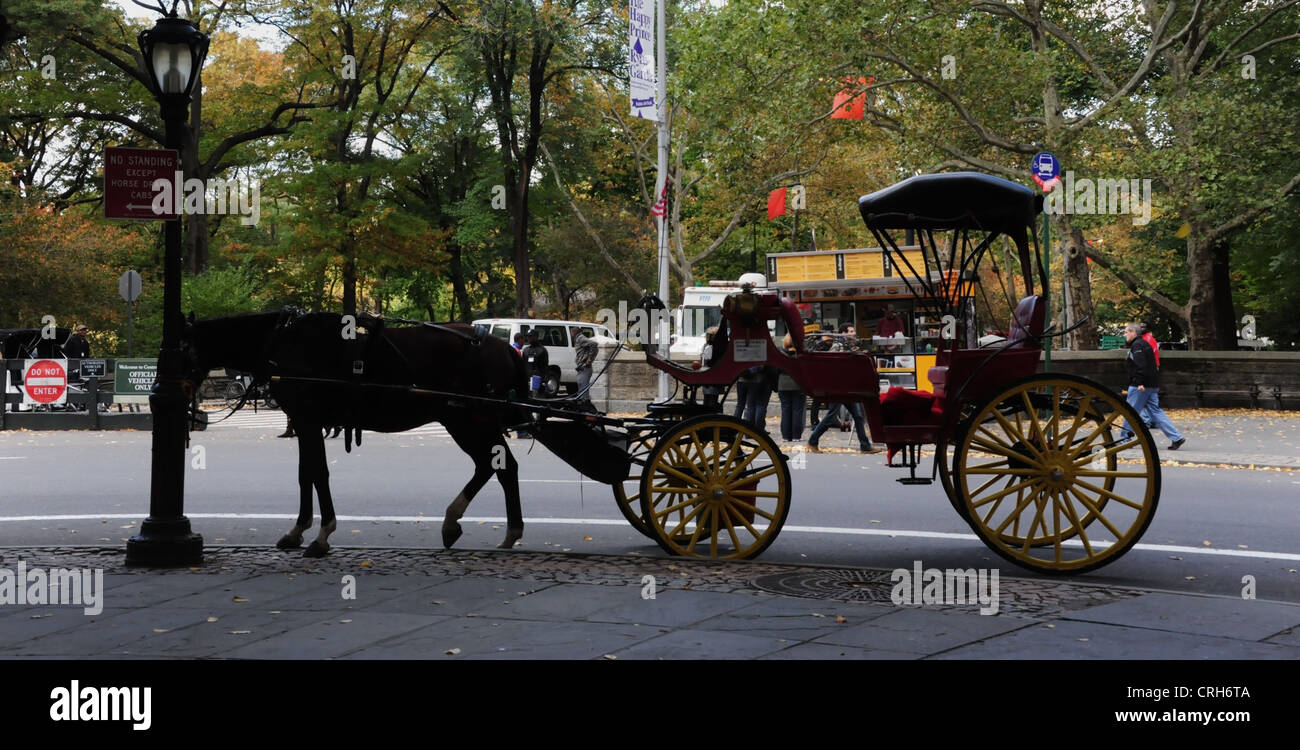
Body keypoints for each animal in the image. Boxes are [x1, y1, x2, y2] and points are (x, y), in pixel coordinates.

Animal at [182, 309, 527, 556]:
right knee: (494, 466)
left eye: (178, 349)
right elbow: (306, 474)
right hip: (464, 421)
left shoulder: (307, 421)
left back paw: (495, 528)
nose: (184, 402)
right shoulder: (304, 423)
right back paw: (471, 525)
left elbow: (318, 473)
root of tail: (505, 347)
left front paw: (322, 534)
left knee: (502, 466)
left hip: (469, 420)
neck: (282, 342)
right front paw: (298, 530)